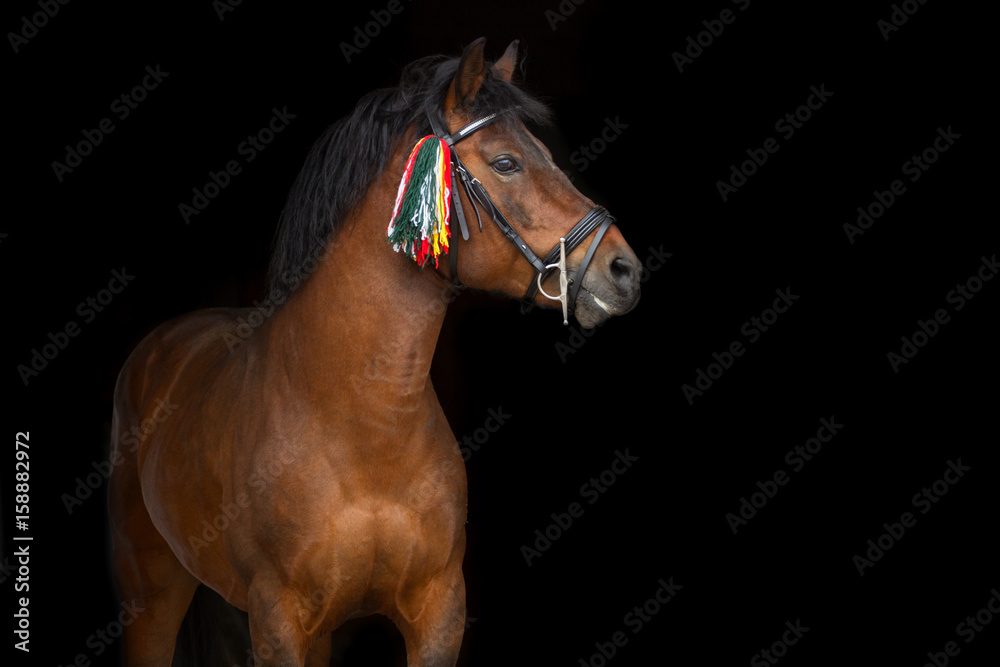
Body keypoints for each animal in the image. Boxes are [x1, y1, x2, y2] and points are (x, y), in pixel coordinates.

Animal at [108, 37, 641, 666]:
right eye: (507, 163)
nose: (625, 270)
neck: (367, 424)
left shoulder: (438, 613)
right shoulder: (277, 619)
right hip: (151, 597)